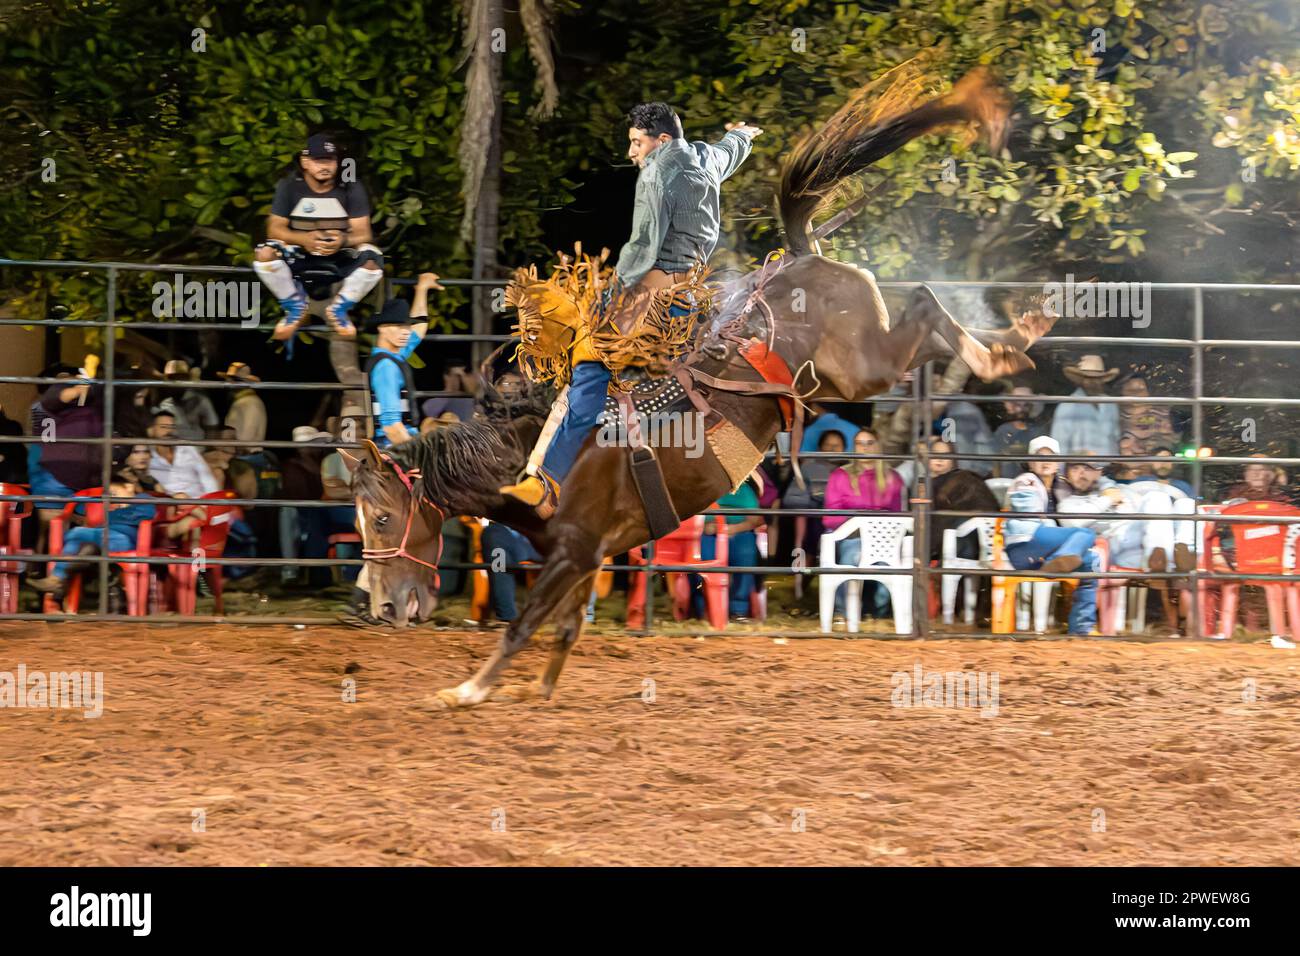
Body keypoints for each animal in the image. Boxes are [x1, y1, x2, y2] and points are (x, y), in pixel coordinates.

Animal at [345, 63, 1056, 708]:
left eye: (382, 518)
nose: (383, 607)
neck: (530, 457)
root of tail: (801, 255)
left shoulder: (573, 551)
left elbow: (524, 623)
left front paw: (466, 690)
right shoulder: (589, 556)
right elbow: (566, 628)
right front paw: (539, 691)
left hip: (863, 366)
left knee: (929, 306)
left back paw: (1006, 347)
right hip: (842, 377)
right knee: (927, 317)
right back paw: (1018, 336)